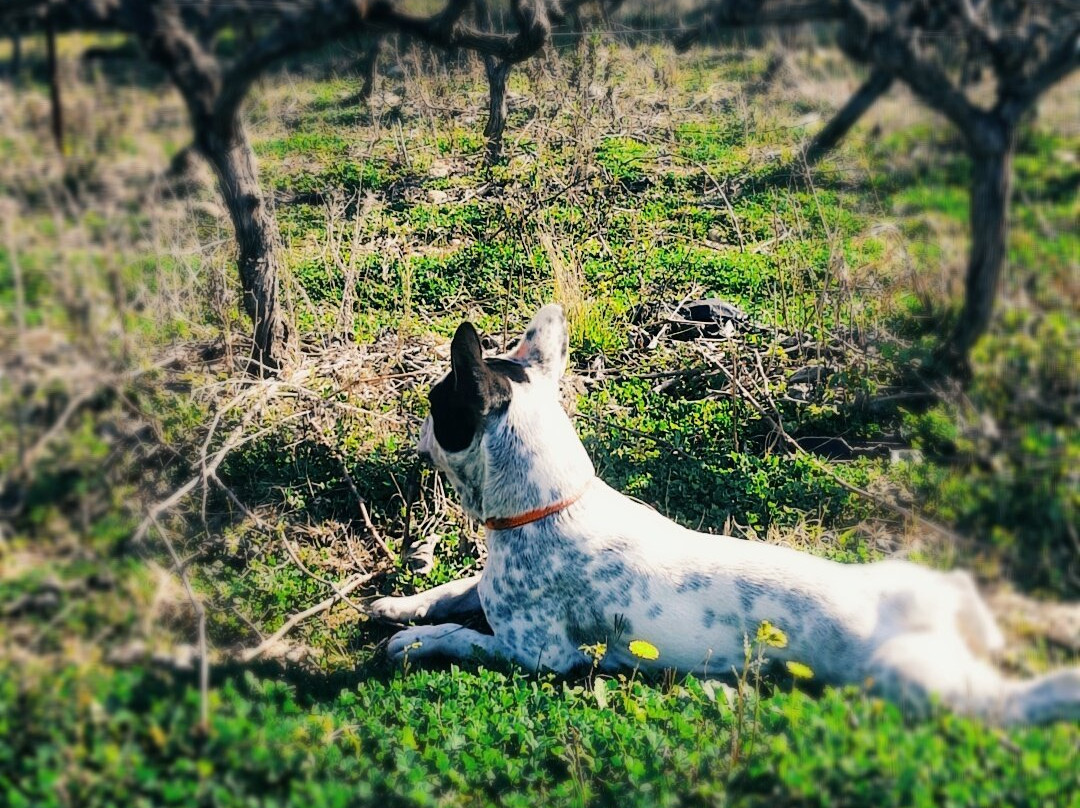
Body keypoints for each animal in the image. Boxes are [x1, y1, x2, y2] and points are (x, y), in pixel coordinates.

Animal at [371, 304, 1080, 725]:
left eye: (436, 404)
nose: (417, 427)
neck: (547, 501)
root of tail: (934, 607)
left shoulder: (537, 654)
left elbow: (464, 637)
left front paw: (412, 641)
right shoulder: (492, 591)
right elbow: (457, 590)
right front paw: (402, 606)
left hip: (922, 679)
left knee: (1015, 701)